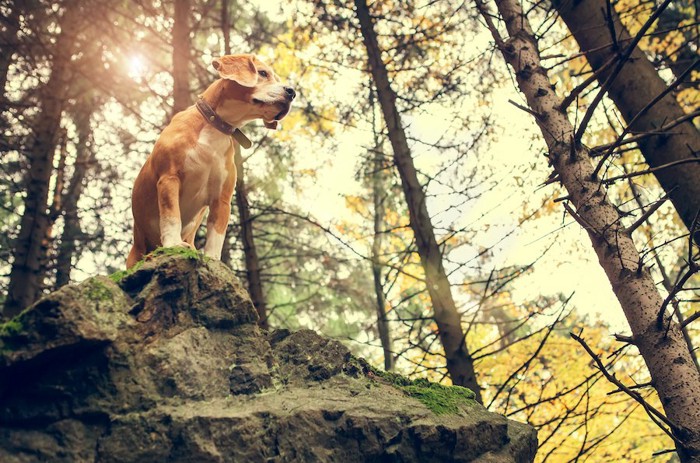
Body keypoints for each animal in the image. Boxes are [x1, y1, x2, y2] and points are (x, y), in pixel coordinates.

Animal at [127, 54, 294, 268]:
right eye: (263, 73)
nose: (292, 92)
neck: (215, 127)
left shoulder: (221, 200)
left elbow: (216, 236)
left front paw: (213, 260)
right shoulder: (169, 179)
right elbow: (171, 217)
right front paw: (173, 244)